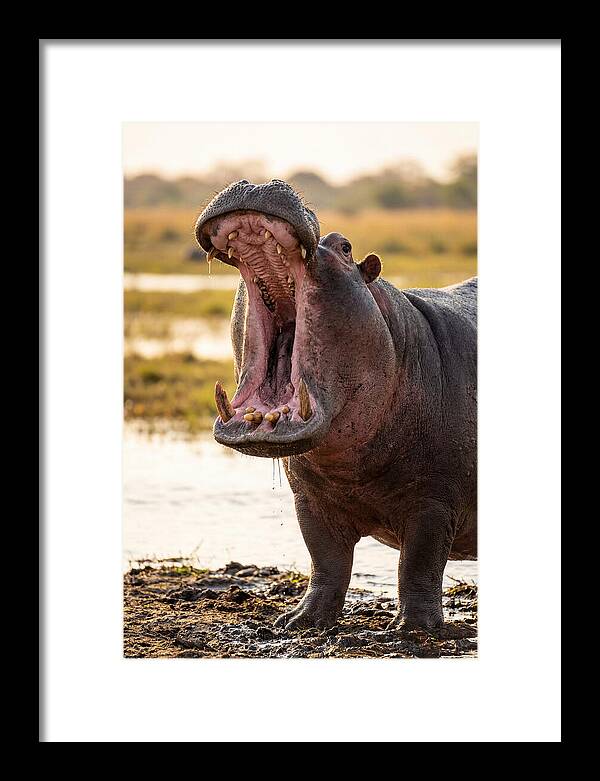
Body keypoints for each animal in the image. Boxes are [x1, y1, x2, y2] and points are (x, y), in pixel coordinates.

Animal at [195, 180, 477, 630]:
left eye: (345, 247)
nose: (259, 182)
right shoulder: (309, 500)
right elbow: (326, 560)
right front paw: (299, 621)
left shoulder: (434, 503)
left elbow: (419, 564)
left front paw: (414, 629)